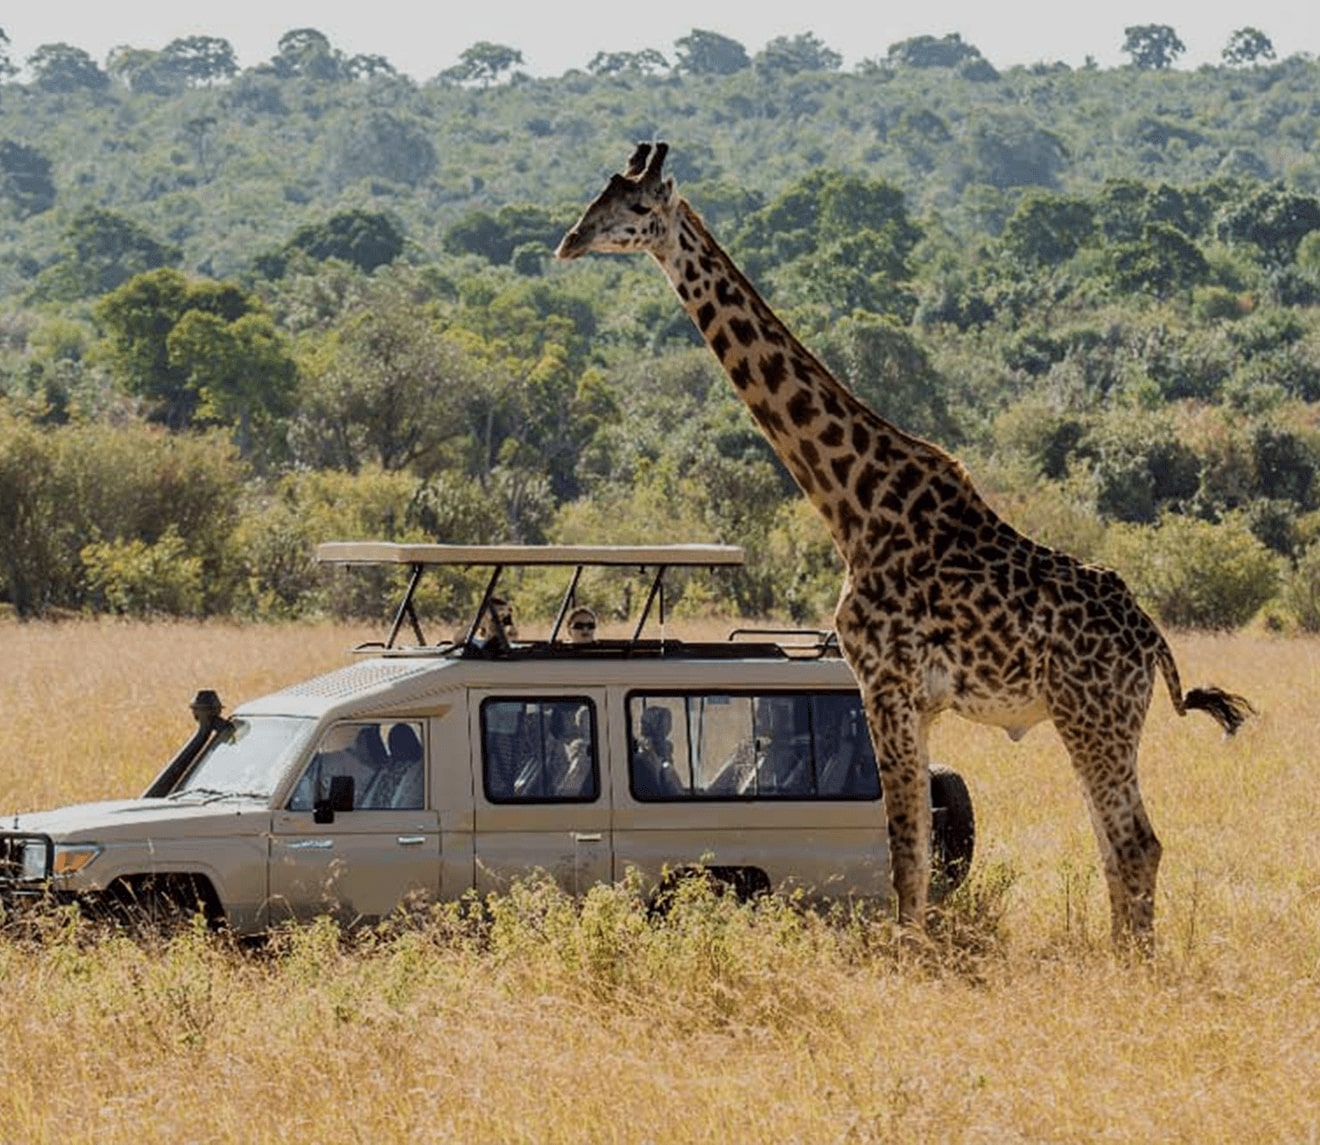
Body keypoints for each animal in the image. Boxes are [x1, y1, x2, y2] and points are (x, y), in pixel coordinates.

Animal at [551, 141, 1251, 950]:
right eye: (596, 195)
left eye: (634, 208)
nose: (569, 241)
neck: (850, 503)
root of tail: (1154, 643)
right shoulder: (918, 700)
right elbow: (914, 843)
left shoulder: (883, 680)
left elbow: (904, 850)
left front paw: (908, 956)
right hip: (1098, 721)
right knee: (1120, 844)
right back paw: (1123, 956)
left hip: (1093, 716)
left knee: (1135, 842)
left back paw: (1130, 962)